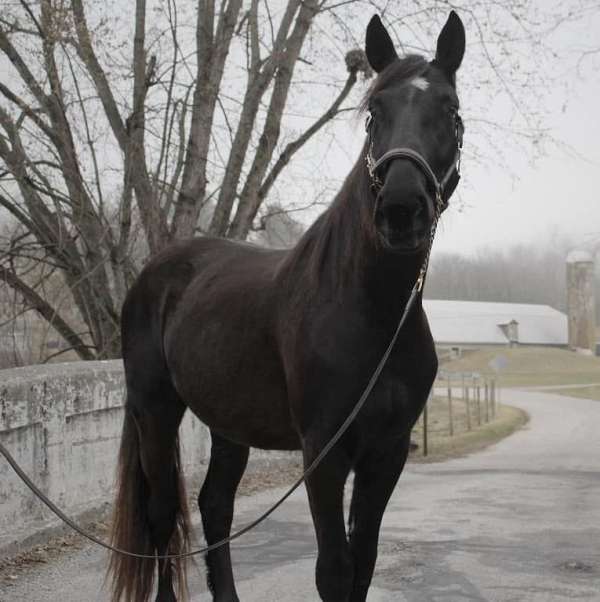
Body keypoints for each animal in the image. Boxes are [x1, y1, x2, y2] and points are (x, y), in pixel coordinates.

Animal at [109, 10, 464, 600]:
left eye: (451, 111)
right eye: (374, 113)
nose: (400, 209)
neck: (371, 312)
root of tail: (155, 273)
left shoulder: (386, 452)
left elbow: (363, 564)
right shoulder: (323, 451)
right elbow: (334, 571)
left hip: (227, 423)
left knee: (215, 507)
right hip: (153, 409)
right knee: (163, 517)